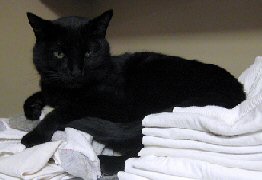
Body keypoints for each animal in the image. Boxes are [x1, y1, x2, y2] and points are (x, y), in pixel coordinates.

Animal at [21, 9, 245, 176]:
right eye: (58, 53)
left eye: (89, 52)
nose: (75, 71)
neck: (66, 91)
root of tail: (234, 89)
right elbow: (41, 96)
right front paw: (32, 107)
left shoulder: (110, 103)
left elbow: (61, 111)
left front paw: (33, 136)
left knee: (146, 151)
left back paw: (101, 162)